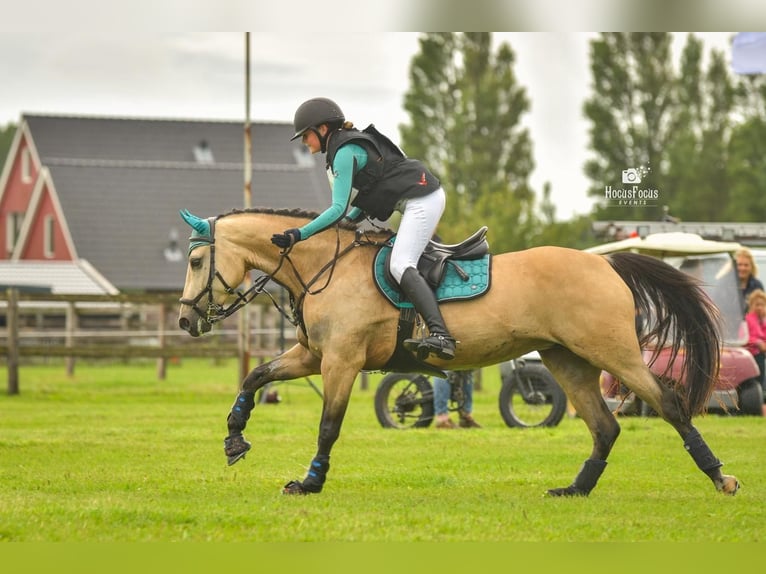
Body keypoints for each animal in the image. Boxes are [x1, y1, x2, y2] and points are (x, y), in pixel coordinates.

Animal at [177, 208, 740, 500]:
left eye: (197, 261)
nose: (185, 321)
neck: (325, 266)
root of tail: (606, 265)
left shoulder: (342, 362)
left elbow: (328, 426)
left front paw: (310, 482)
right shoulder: (314, 356)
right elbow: (255, 377)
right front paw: (234, 439)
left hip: (613, 352)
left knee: (669, 404)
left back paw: (721, 477)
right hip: (566, 359)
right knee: (605, 426)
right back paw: (574, 490)